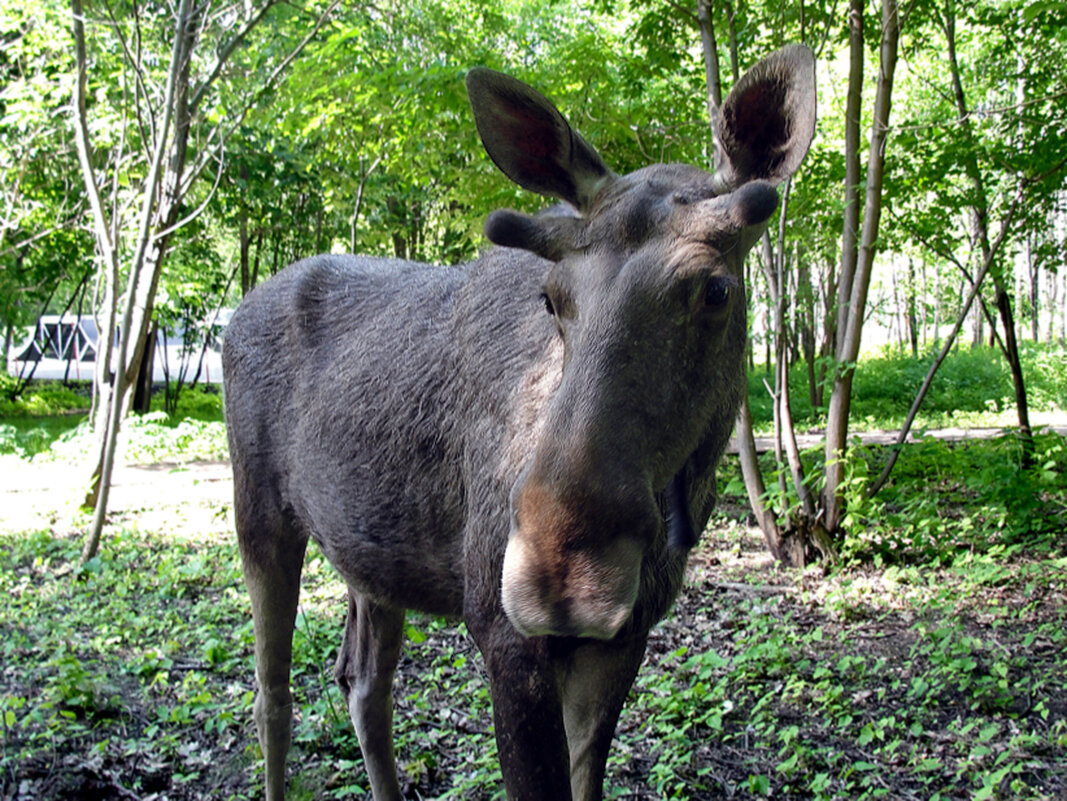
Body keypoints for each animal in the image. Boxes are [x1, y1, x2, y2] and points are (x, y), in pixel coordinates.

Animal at [220, 45, 810, 801]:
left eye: (716, 290)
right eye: (551, 296)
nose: (561, 572)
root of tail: (233, 316)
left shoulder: (624, 636)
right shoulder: (503, 632)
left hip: (367, 555)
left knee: (362, 682)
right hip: (259, 514)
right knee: (272, 692)